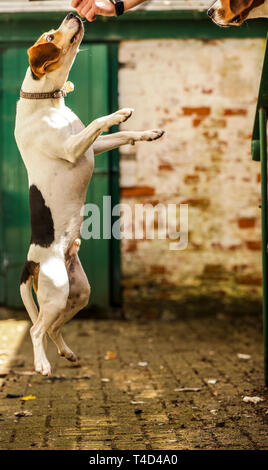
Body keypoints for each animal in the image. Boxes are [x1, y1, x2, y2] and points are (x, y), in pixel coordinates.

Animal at [15, 12, 164, 376]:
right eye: (50, 35)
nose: (73, 13)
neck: (46, 102)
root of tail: (31, 260)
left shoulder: (90, 148)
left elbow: (121, 136)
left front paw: (147, 133)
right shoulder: (73, 149)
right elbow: (101, 120)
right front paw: (119, 113)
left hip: (79, 292)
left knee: (53, 327)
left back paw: (66, 353)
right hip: (57, 291)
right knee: (36, 328)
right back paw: (42, 364)